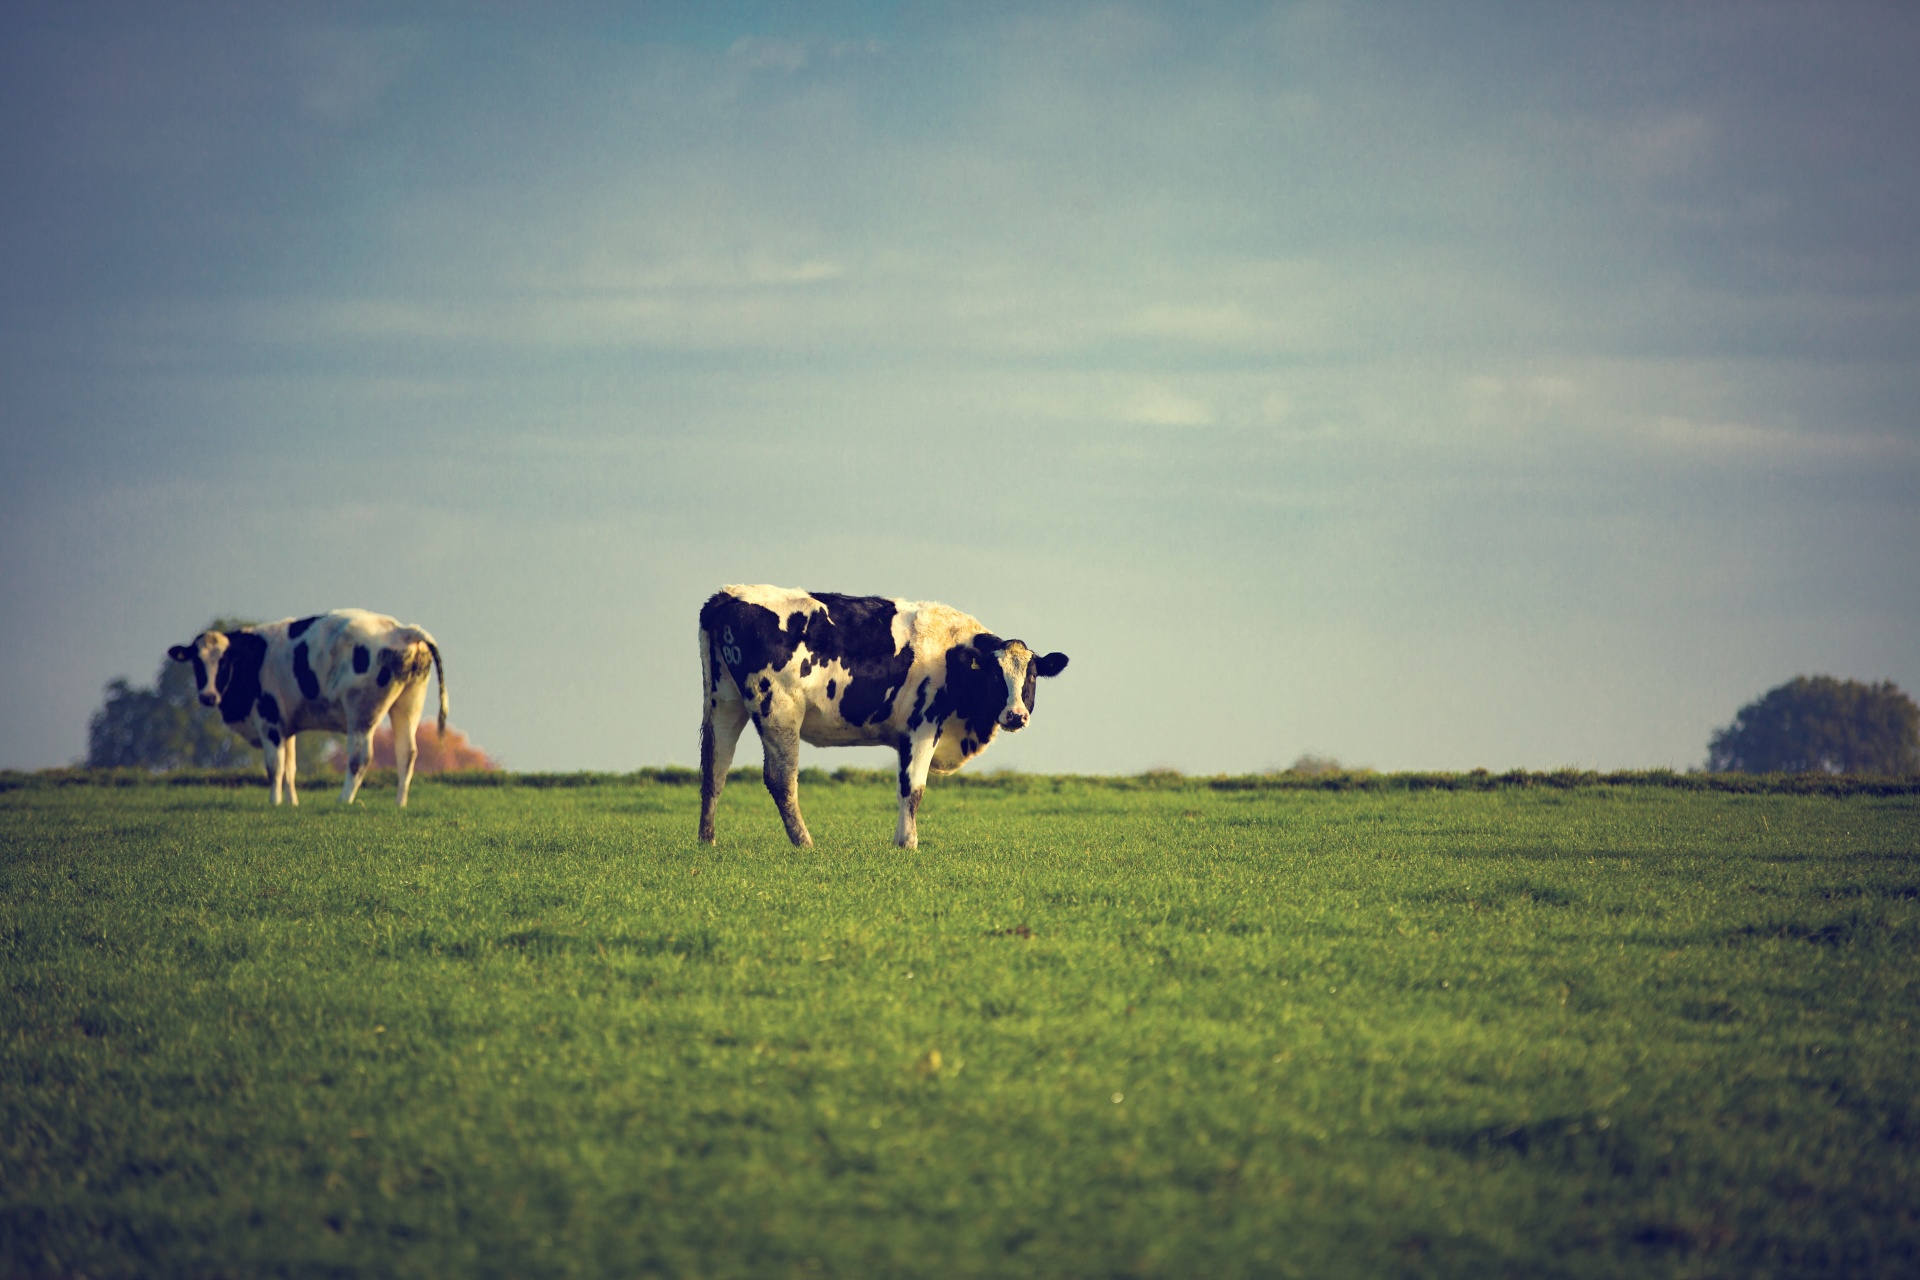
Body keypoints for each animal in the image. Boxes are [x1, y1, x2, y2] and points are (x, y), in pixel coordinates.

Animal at [168, 610, 445, 805]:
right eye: (197, 663)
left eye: (224, 662)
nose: (208, 696)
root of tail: (401, 630)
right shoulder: (286, 726)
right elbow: (290, 767)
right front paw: (292, 803)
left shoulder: (269, 719)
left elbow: (275, 765)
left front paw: (274, 802)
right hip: (408, 705)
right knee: (406, 753)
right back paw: (400, 803)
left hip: (362, 711)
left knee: (360, 758)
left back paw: (344, 800)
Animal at [702, 587, 1075, 852]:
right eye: (996, 676)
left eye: (1032, 676)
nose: (1016, 715)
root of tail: (730, 595)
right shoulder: (923, 727)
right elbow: (913, 788)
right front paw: (907, 844)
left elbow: (904, 788)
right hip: (779, 709)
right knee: (781, 778)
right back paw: (804, 843)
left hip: (723, 702)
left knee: (714, 769)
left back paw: (707, 839)